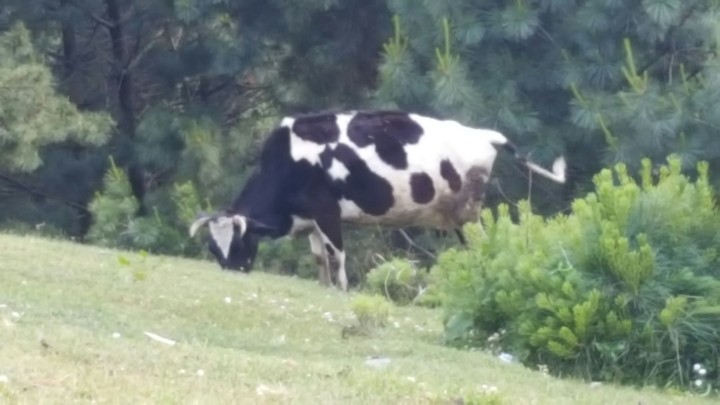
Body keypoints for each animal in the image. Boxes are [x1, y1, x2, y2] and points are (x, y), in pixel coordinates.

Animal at [189, 110, 566, 291]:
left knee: (481, 246)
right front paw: (325, 285)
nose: (233, 272)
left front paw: (343, 289)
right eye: (213, 249)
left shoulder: (327, 212)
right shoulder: (312, 219)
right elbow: (319, 258)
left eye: (240, 243)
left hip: (468, 214)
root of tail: (486, 135)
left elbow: (338, 254)